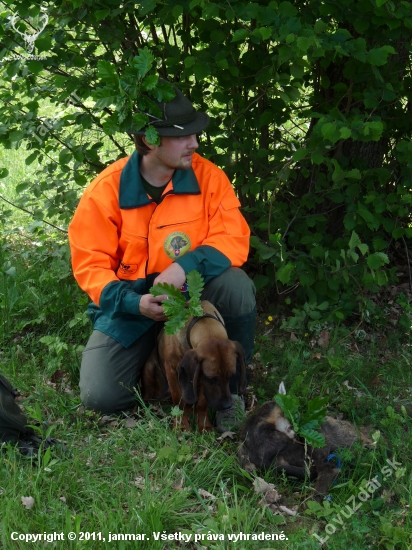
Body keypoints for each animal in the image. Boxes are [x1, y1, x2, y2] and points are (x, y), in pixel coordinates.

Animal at [142, 302, 245, 436]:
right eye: (211, 379)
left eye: (230, 376)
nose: (227, 406)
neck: (205, 323)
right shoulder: (172, 370)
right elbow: (179, 402)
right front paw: (181, 426)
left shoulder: (199, 379)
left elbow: (202, 404)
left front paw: (204, 426)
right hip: (149, 370)